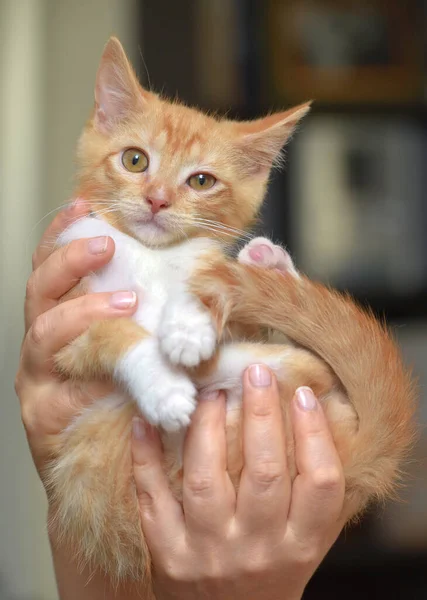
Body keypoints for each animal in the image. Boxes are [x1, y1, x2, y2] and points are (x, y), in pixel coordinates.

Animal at [47, 37, 418, 592]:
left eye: (201, 181)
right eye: (134, 160)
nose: (157, 200)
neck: (150, 256)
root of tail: (353, 453)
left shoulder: (202, 272)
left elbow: (208, 284)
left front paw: (186, 324)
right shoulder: (69, 324)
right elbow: (115, 331)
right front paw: (163, 385)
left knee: (308, 365)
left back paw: (268, 271)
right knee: (304, 368)